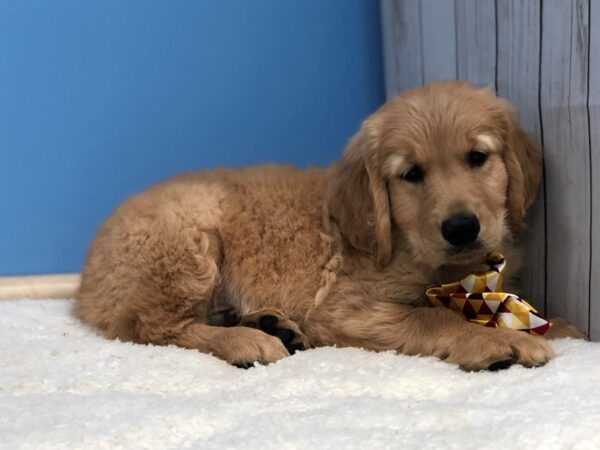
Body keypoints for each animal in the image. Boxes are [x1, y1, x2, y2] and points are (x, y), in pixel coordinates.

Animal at [77, 80, 556, 370]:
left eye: (478, 158)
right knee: (152, 328)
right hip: (186, 244)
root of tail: (84, 281)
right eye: (411, 174)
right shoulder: (345, 308)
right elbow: (433, 318)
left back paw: (272, 325)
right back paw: (247, 341)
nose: (460, 228)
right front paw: (499, 342)